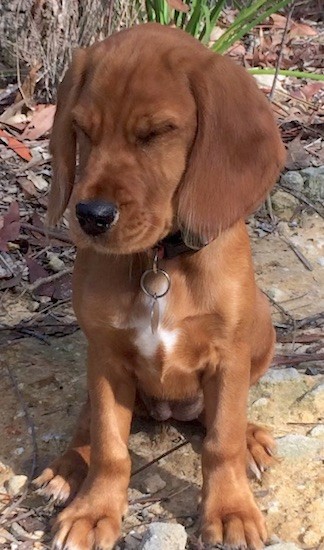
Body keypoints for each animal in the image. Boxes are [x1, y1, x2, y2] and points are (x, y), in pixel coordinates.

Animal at [34, 22, 284, 550]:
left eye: (156, 133)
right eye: (83, 131)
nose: (91, 216)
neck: (159, 262)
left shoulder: (228, 358)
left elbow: (221, 441)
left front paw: (230, 508)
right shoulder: (107, 358)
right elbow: (110, 447)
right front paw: (94, 511)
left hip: (263, 330)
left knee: (217, 420)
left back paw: (251, 437)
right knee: (87, 424)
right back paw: (68, 469)